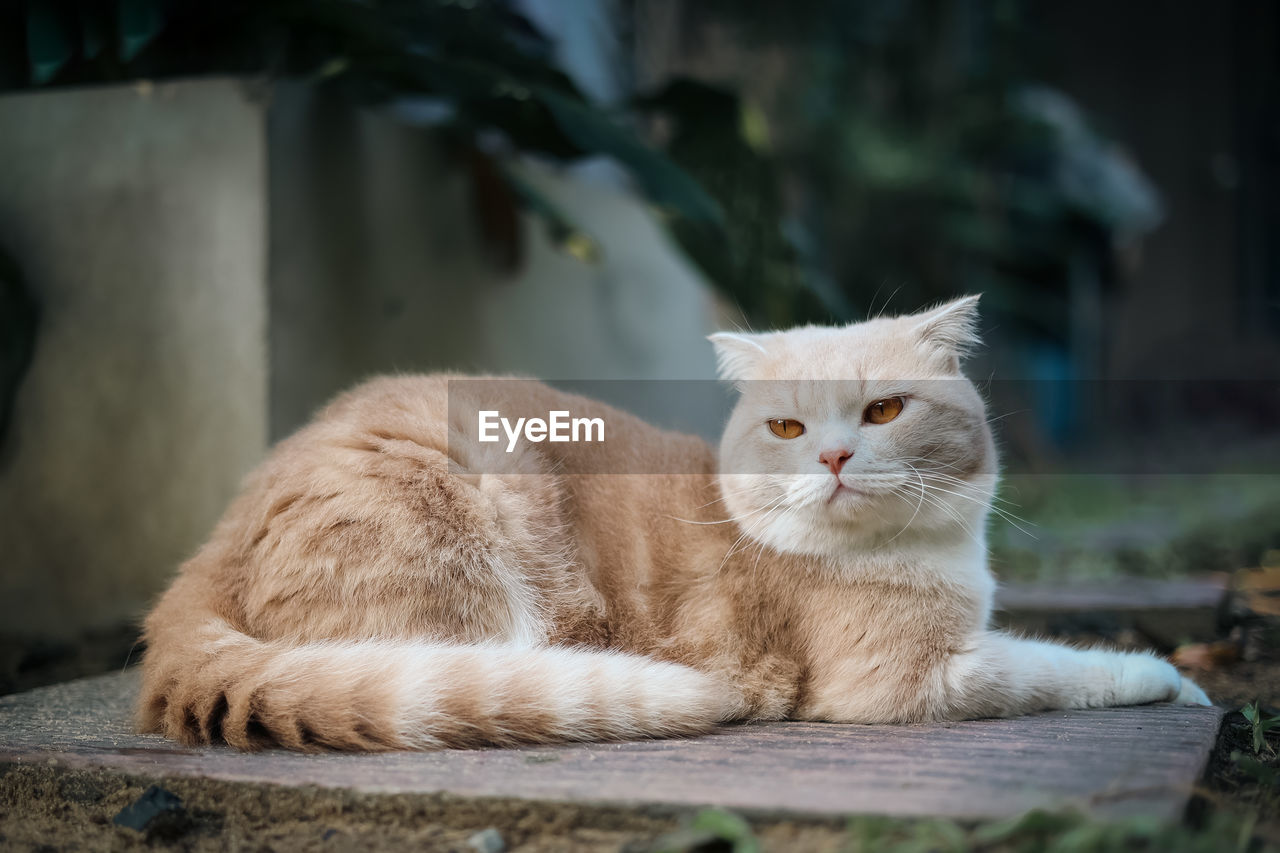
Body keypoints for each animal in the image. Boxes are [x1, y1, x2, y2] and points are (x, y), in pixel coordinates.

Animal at [140, 295, 1208, 747]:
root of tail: (211, 541)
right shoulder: (908, 681)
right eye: (787, 426)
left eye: (883, 410)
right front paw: (1167, 678)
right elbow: (1056, 667)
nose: (832, 458)